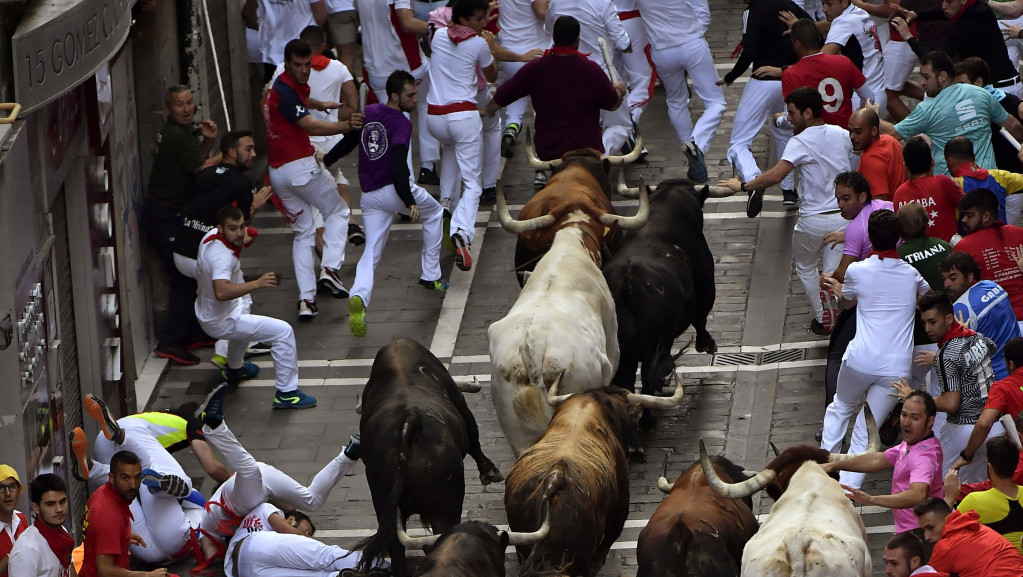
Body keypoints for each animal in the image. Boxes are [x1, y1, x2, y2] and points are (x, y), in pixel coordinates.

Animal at [353, 337, 505, 577]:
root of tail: (411, 421)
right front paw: (489, 472)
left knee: (396, 551)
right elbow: (474, 438)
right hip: (445, 506)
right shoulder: (460, 402)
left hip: (383, 502)